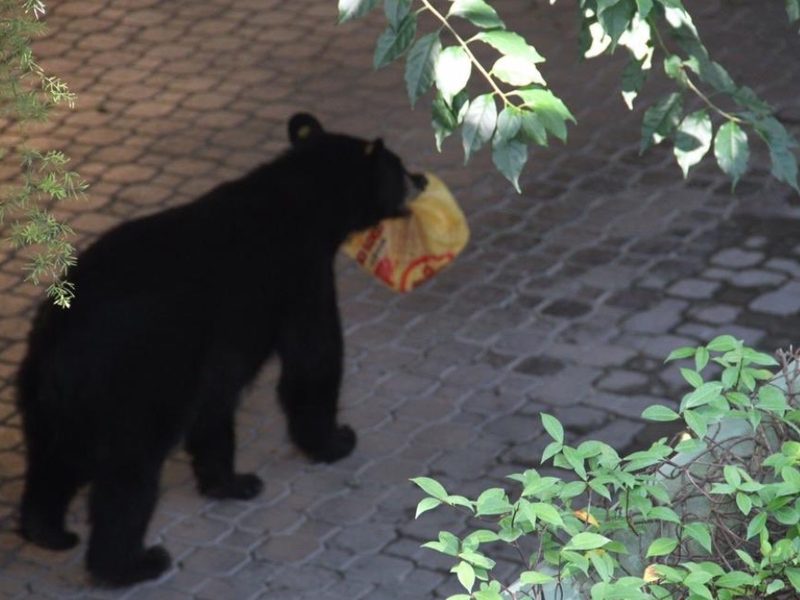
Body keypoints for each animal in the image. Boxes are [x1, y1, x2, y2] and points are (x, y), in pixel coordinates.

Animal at [16, 113, 425, 586]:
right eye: (398, 166)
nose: (421, 178)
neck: (303, 199)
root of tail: (61, 339)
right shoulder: (303, 274)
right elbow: (314, 358)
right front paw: (336, 439)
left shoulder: (220, 344)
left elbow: (216, 401)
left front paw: (230, 481)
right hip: (136, 381)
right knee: (128, 471)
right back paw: (132, 563)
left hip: (49, 397)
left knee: (54, 458)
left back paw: (46, 530)